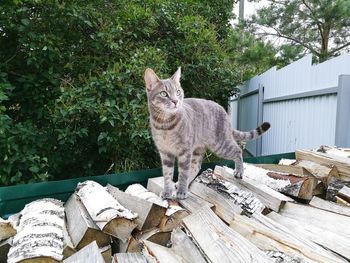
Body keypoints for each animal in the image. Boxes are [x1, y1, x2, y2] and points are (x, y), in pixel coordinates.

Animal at [144, 68, 270, 200]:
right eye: (164, 93)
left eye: (178, 92)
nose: (175, 101)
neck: (165, 125)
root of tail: (224, 111)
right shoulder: (165, 153)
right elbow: (167, 174)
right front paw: (167, 191)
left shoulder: (185, 151)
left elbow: (183, 173)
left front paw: (182, 192)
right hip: (198, 149)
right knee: (196, 166)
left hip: (220, 145)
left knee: (237, 150)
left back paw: (239, 171)